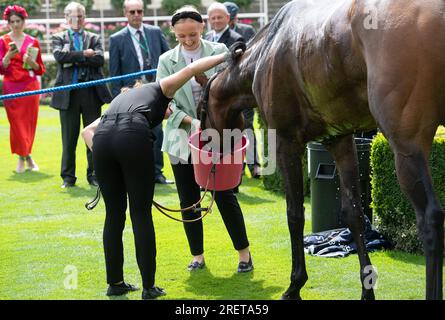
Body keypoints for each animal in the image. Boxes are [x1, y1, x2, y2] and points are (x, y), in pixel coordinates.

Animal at [200, 0, 444, 300]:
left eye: (200, 112)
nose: (205, 154)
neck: (267, 50)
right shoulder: (339, 139)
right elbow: (353, 213)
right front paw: (367, 291)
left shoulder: (286, 141)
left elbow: (294, 212)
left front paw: (295, 284)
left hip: (407, 145)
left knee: (430, 219)